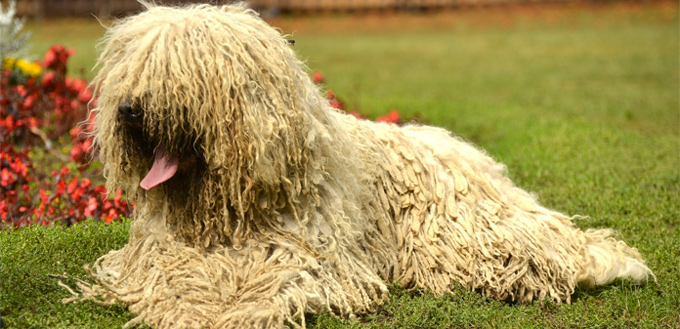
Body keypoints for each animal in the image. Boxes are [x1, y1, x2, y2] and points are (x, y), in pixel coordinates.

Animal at [67, 2, 652, 328]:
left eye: (182, 69)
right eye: (132, 66)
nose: (128, 109)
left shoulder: (309, 258)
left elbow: (271, 284)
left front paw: (233, 310)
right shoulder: (162, 252)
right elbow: (170, 277)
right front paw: (184, 304)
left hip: (464, 235)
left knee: (550, 252)